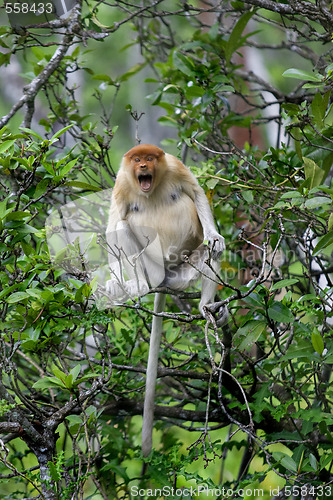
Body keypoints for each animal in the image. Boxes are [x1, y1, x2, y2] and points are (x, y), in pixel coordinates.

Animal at [105, 145, 227, 458]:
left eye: (150, 158)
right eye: (137, 159)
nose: (143, 166)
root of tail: (164, 279)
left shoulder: (174, 166)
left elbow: (196, 192)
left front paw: (215, 236)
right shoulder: (122, 184)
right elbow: (114, 225)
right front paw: (112, 280)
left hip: (183, 271)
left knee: (210, 253)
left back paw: (206, 308)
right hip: (151, 266)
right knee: (123, 225)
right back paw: (138, 284)